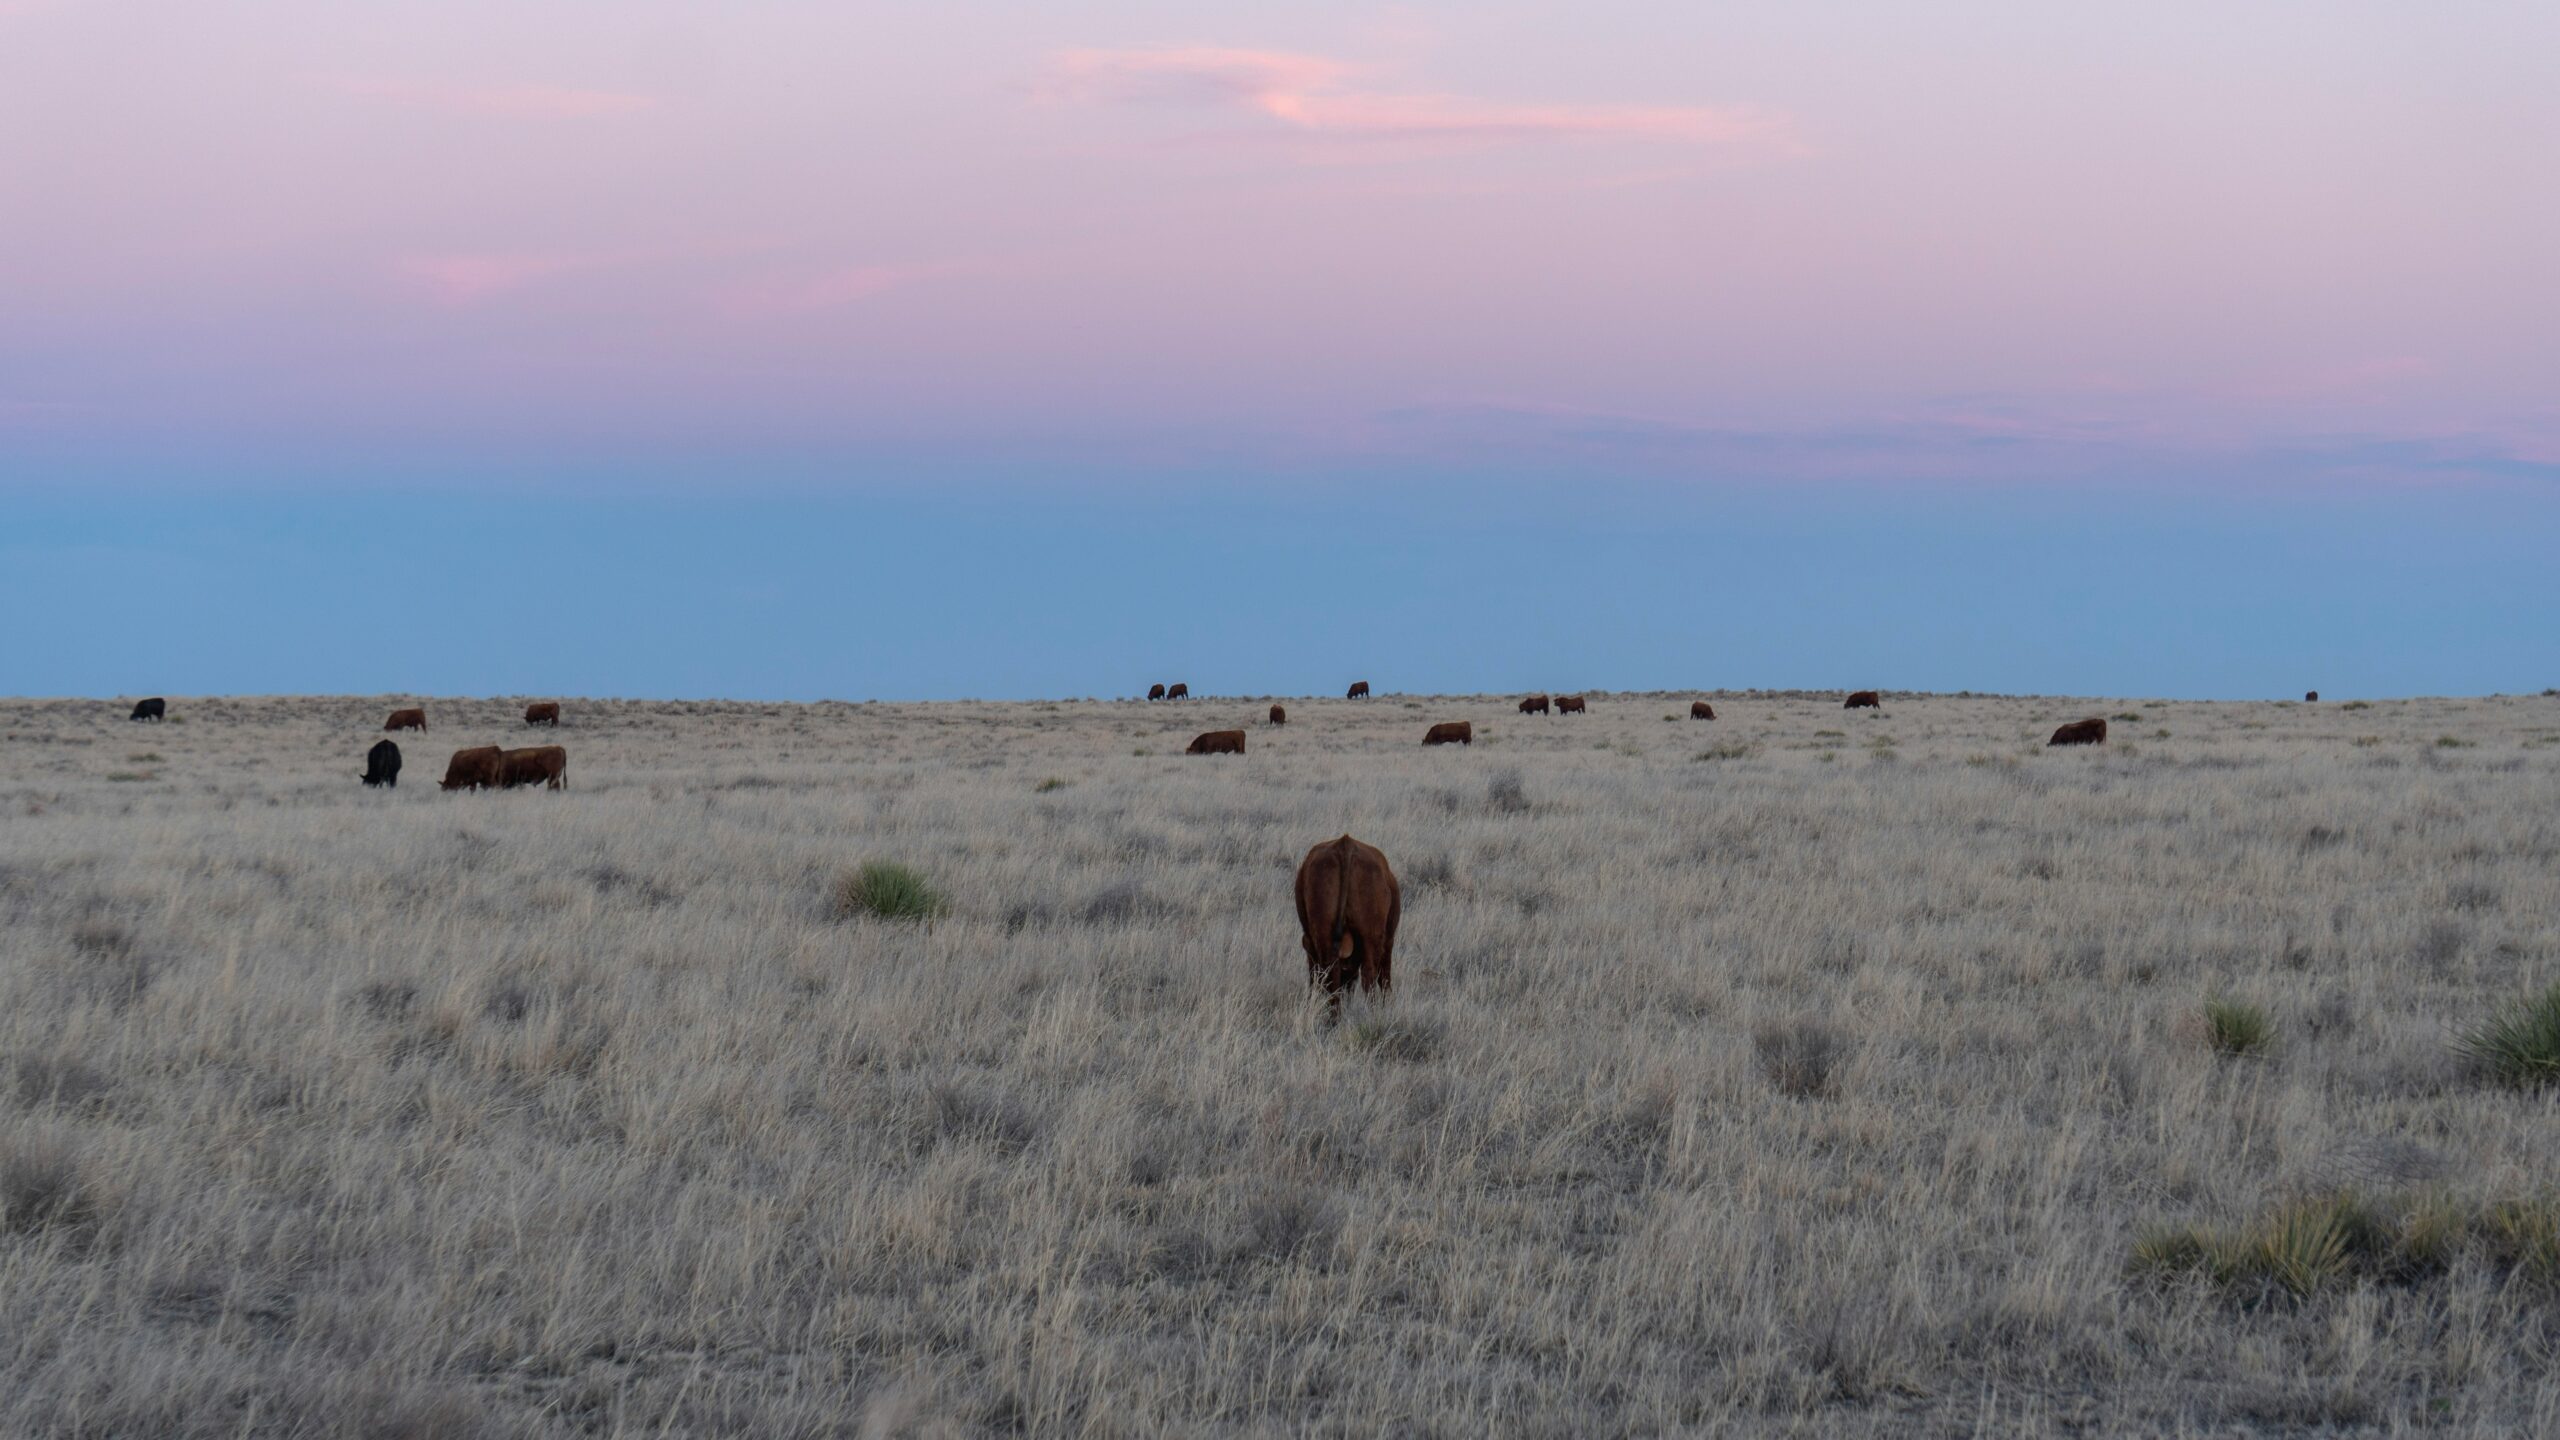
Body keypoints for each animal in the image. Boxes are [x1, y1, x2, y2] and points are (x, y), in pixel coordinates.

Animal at [1292, 834, 1401, 1022]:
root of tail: (1345, 844)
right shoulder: (1388, 941)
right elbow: (1384, 976)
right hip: (1371, 940)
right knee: (1369, 974)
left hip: (1323, 936)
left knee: (1331, 972)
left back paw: (1333, 1017)